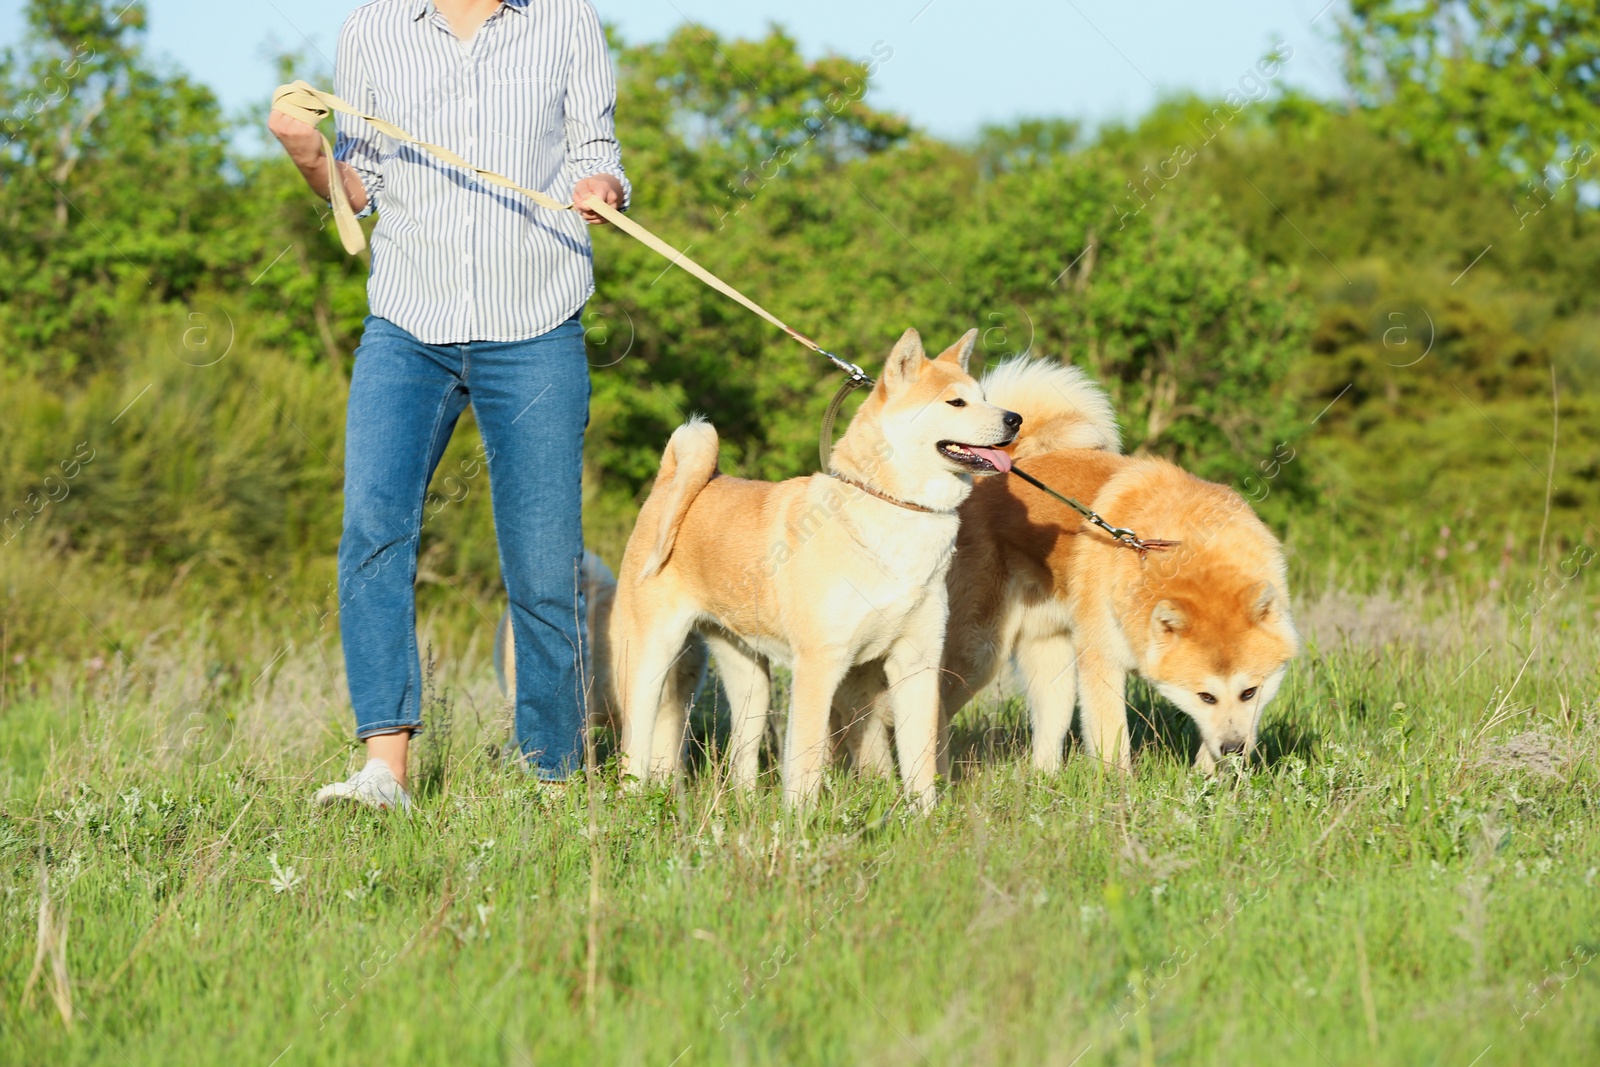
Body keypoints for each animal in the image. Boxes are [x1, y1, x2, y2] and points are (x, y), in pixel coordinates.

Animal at [604, 327, 1017, 809]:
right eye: (956, 403)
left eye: (984, 397)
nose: (1015, 419)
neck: (895, 511)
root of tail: (669, 480)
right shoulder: (820, 665)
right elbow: (805, 767)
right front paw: (800, 821)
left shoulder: (916, 664)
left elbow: (920, 765)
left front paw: (925, 820)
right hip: (649, 660)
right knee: (635, 747)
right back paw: (635, 801)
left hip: (749, 677)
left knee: (742, 757)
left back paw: (745, 806)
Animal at [851, 358, 1299, 777]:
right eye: (1206, 695)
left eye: (1249, 692)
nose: (1234, 748)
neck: (1184, 547)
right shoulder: (1101, 661)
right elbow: (1112, 740)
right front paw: (1121, 794)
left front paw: (1207, 782)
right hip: (978, 653)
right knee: (915, 710)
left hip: (1053, 662)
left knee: (1046, 737)